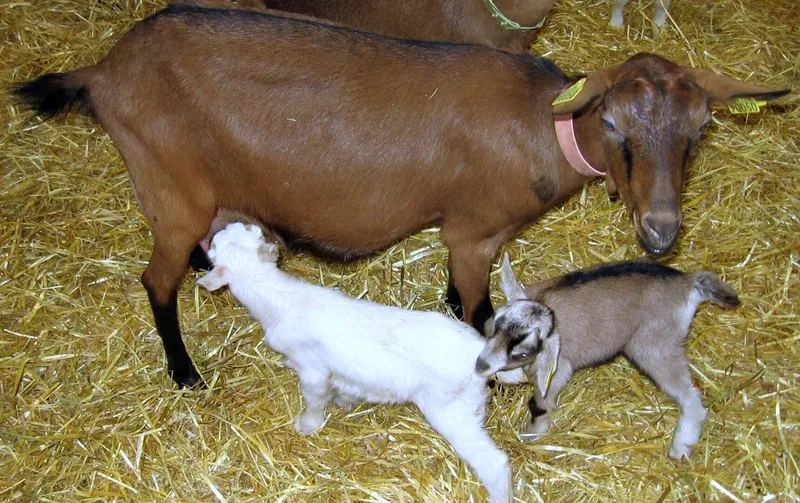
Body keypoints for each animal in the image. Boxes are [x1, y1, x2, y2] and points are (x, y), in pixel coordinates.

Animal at [13, 5, 787, 387]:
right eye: (616, 124)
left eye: (701, 128)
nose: (661, 232)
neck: (543, 125)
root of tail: (104, 70)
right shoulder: (473, 230)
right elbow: (476, 310)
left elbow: (458, 296)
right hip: (172, 188)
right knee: (156, 280)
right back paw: (184, 373)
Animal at [197, 223, 538, 503]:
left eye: (213, 248)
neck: (277, 296)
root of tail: (477, 351)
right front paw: (345, 400)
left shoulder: (312, 369)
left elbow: (314, 399)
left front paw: (307, 425)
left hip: (449, 410)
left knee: (493, 462)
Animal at [475, 254, 740, 459]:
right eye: (495, 325)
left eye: (523, 352)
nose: (480, 365)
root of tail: (688, 282)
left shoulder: (559, 369)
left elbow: (540, 403)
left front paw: (531, 433)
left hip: (656, 345)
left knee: (690, 397)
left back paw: (681, 448)